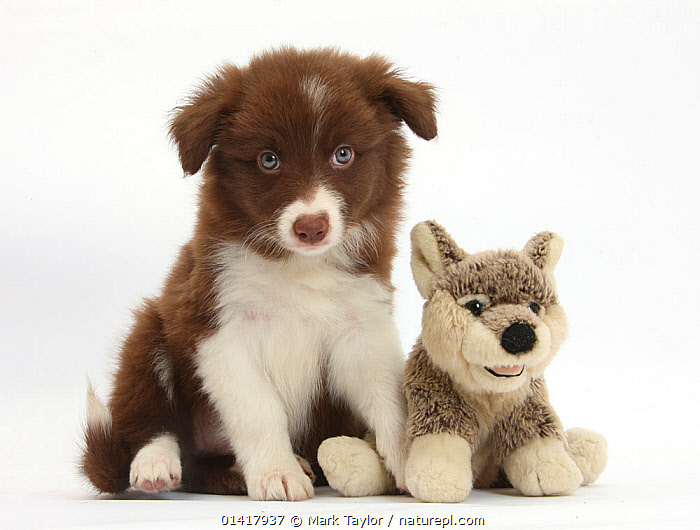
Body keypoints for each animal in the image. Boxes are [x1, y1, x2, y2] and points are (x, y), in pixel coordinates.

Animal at [82, 46, 438, 500]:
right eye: (269, 160)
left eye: (343, 154)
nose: (311, 226)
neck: (298, 265)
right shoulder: (217, 323)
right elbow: (258, 409)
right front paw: (276, 472)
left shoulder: (361, 321)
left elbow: (388, 394)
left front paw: (412, 458)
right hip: (150, 333)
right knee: (153, 419)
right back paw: (155, 465)